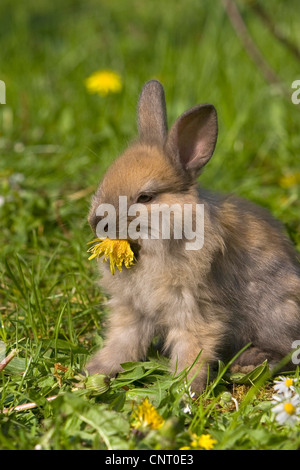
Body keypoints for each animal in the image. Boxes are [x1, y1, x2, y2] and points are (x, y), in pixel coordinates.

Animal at [86, 81, 300, 392]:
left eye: (145, 197)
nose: (96, 222)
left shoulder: (196, 310)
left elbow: (192, 351)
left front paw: (184, 390)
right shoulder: (132, 310)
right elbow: (122, 342)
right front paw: (96, 371)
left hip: (276, 314)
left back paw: (249, 362)